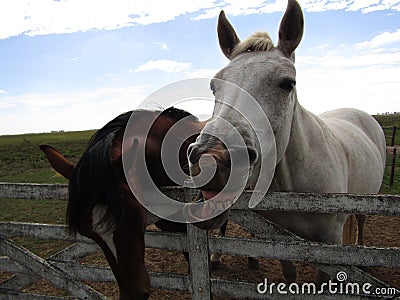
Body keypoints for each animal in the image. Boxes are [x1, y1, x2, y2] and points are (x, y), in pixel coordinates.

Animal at [189, 0, 386, 284]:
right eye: (214, 86)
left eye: (288, 83)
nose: (211, 158)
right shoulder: (280, 240)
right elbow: (290, 274)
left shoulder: (329, 247)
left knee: (360, 220)